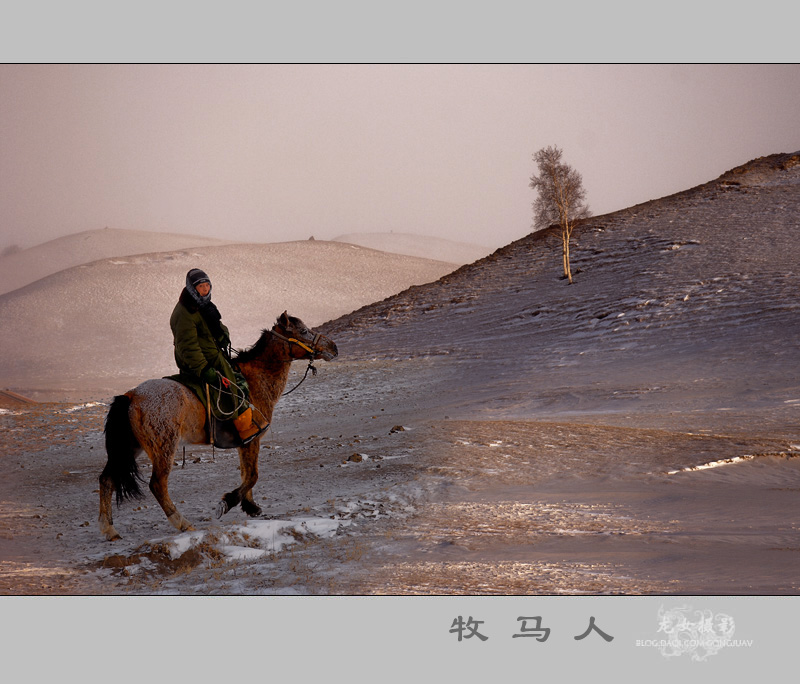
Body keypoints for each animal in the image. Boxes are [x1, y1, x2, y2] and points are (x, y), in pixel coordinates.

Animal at [99, 312, 338, 544]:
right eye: (303, 331)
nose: (333, 347)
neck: (254, 380)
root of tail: (131, 396)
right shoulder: (253, 438)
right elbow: (253, 475)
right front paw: (227, 502)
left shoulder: (245, 443)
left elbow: (246, 472)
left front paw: (250, 506)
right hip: (163, 447)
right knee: (157, 484)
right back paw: (182, 523)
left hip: (131, 447)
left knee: (107, 479)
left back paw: (110, 530)